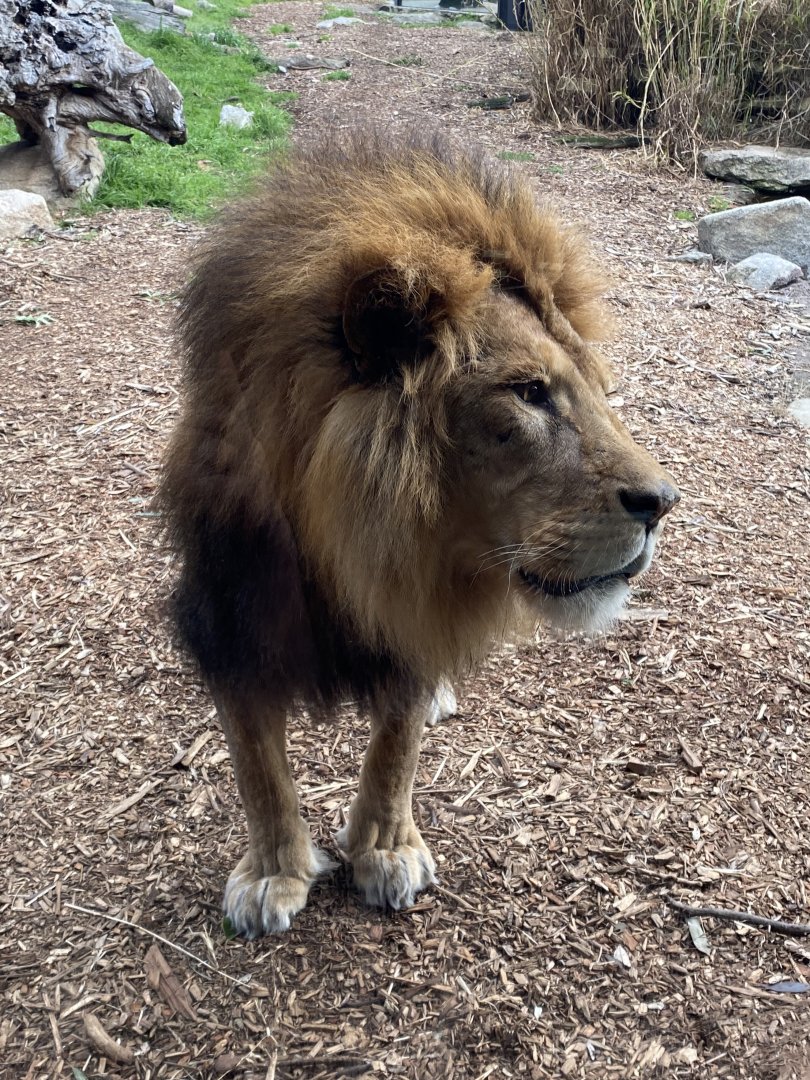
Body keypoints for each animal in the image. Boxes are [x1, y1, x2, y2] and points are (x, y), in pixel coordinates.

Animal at [160, 128, 679, 937]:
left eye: (597, 393)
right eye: (529, 393)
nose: (663, 502)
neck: (342, 552)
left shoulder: (417, 606)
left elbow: (396, 746)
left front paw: (383, 851)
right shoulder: (230, 618)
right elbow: (256, 763)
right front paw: (274, 871)